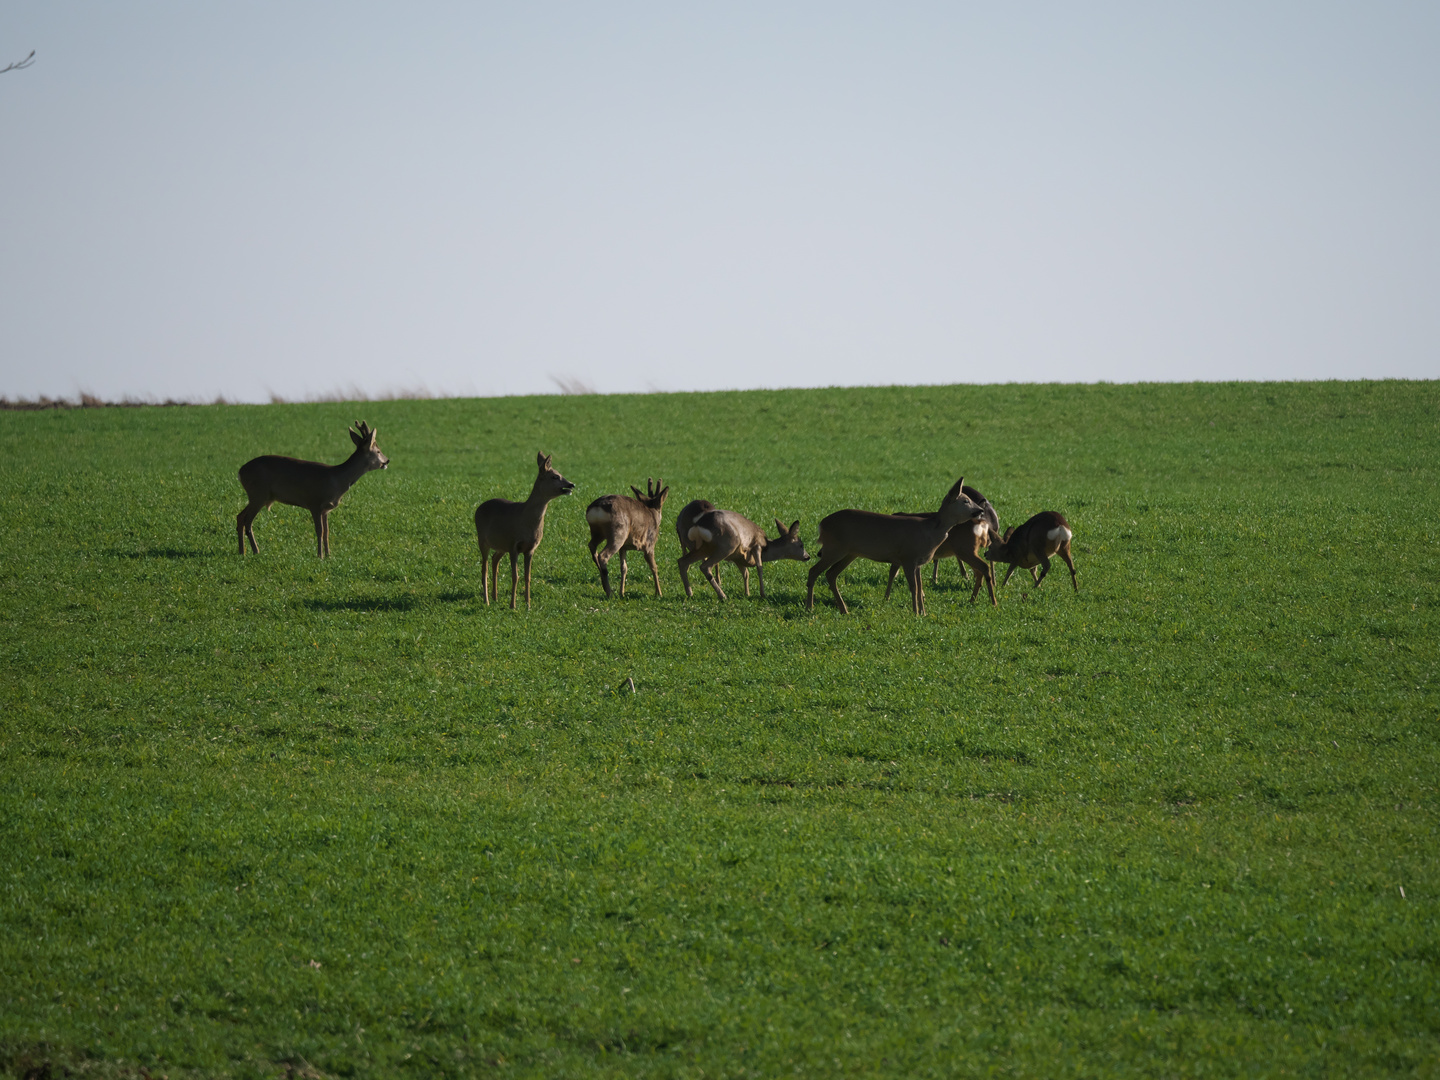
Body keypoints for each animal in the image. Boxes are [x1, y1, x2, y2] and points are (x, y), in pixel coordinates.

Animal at [237, 420, 391, 561]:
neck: (337, 480)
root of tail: (240, 472)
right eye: (378, 451)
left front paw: (329, 555)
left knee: (240, 516)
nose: (387, 460)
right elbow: (319, 531)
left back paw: (242, 552)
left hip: (257, 496)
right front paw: (320, 556)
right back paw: (256, 551)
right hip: (258, 494)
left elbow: (327, 532)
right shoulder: (315, 503)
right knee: (247, 521)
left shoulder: (326, 509)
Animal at [478, 452, 578, 613]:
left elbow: (528, 576)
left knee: (494, 559)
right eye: (555, 476)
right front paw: (513, 605)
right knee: (484, 568)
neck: (526, 519)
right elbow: (515, 576)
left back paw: (495, 597)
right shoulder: (514, 545)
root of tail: (478, 508)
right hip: (482, 539)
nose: (571, 484)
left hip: (501, 545)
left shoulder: (530, 548)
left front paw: (528, 605)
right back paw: (486, 600)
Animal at [676, 512, 812, 601]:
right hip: (727, 545)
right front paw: (763, 594)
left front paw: (747, 593)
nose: (807, 556)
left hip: (704, 548)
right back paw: (723, 596)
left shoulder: (738, 557)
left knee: (682, 561)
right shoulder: (756, 546)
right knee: (704, 566)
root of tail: (698, 526)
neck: (767, 547)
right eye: (801, 545)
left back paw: (689, 593)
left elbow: (745, 573)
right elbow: (759, 568)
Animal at [806, 480, 984, 616]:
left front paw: (923, 612)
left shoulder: (918, 563)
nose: (981, 510)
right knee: (814, 571)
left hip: (850, 553)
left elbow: (920, 587)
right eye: (965, 501)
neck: (931, 531)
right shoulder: (908, 557)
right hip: (834, 548)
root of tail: (822, 524)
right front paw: (916, 613)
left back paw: (844, 609)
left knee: (830, 574)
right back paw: (810, 607)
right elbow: (914, 587)